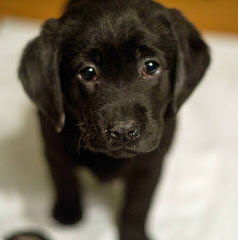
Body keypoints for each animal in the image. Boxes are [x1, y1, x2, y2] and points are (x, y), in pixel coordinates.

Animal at [18, 0, 210, 240]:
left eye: (150, 66)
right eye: (88, 72)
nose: (123, 130)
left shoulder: (150, 164)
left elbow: (138, 203)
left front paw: (133, 233)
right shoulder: (53, 144)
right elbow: (64, 178)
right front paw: (68, 211)